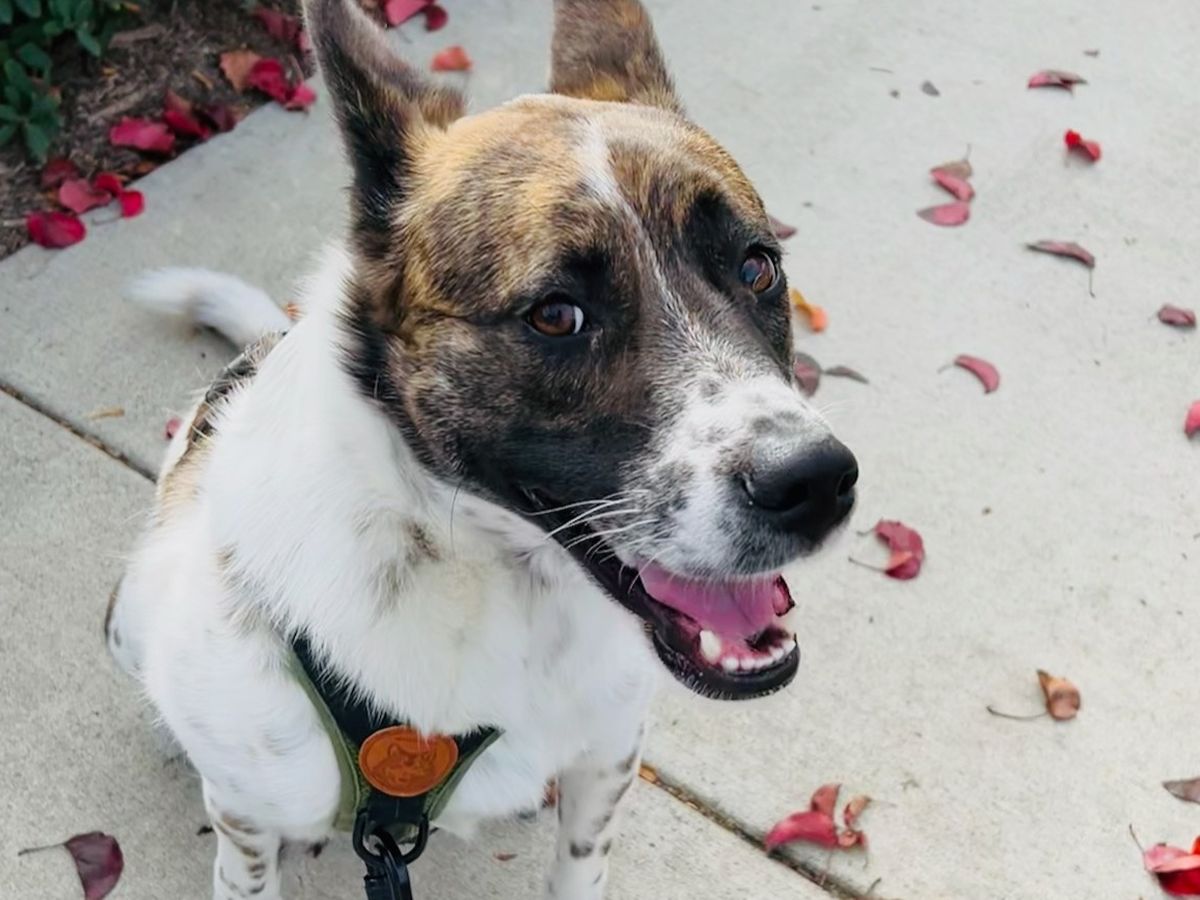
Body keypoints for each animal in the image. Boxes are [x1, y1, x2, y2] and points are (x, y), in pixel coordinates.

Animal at [105, 0, 858, 897]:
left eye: (756, 267)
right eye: (557, 314)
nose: (817, 484)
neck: (487, 574)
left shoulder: (609, 754)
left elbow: (580, 868)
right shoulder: (247, 817)